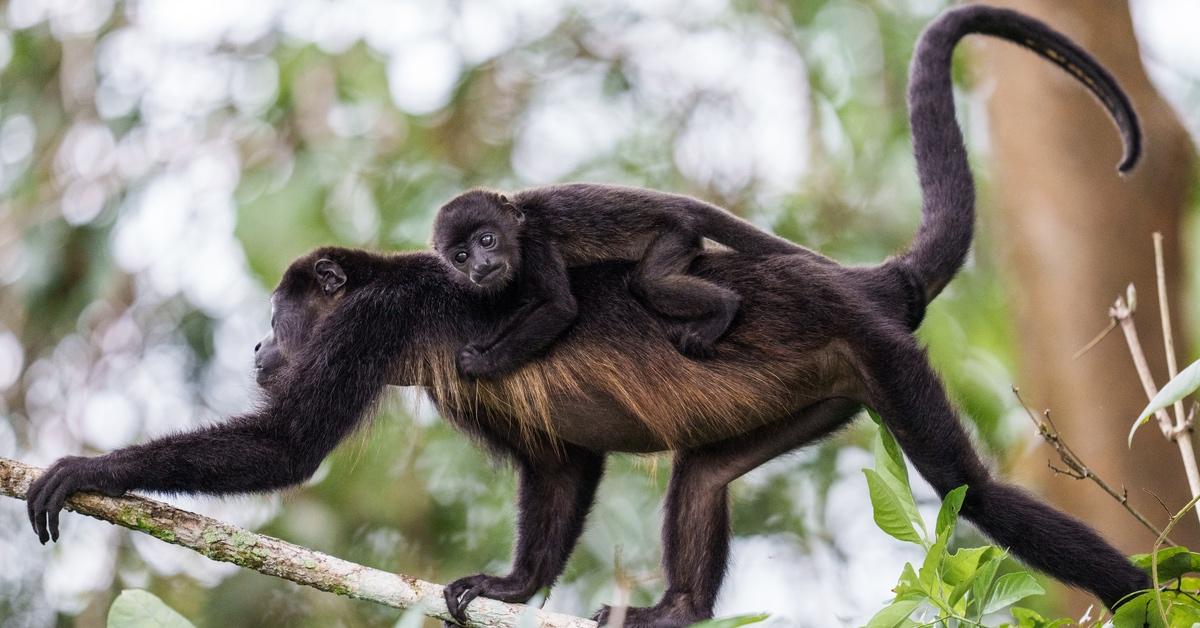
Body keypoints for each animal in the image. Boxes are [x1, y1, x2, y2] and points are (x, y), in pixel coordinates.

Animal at [432, 181, 816, 379]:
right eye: (460, 257)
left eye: (486, 240)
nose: (481, 265)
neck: (519, 226)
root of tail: (679, 203)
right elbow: (529, 305)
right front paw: (483, 344)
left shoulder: (538, 243)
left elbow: (559, 307)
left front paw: (484, 364)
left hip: (676, 233)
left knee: (648, 282)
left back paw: (724, 308)